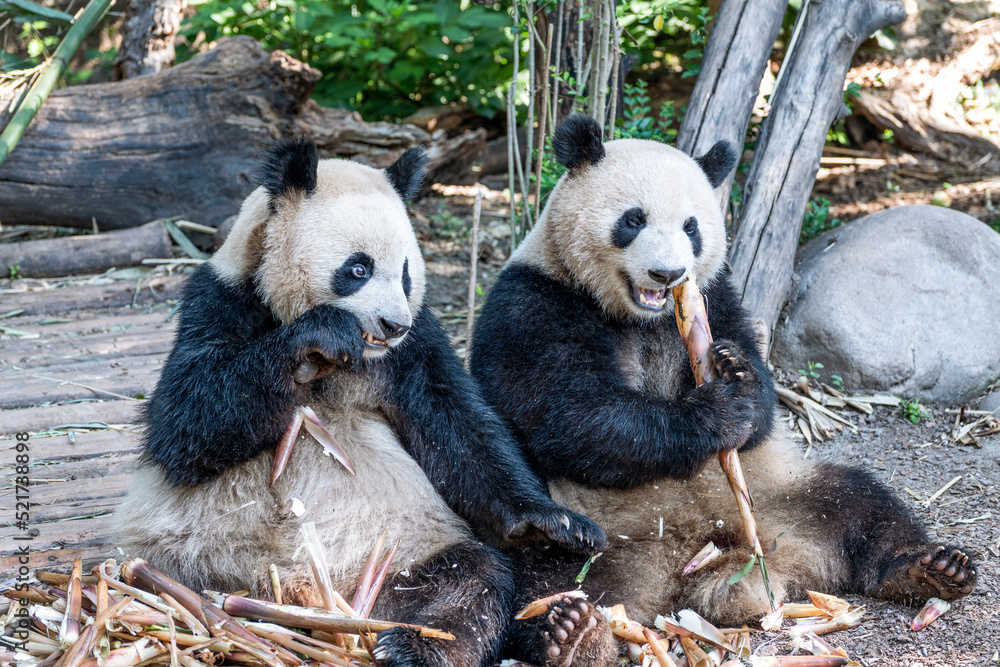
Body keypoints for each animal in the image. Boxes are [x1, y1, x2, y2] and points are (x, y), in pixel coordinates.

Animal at [113, 137, 604, 667]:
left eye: (406, 274)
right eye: (358, 268)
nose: (392, 325)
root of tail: (314, 595)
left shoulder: (415, 345)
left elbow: (461, 431)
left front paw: (556, 523)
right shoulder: (222, 299)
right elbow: (184, 423)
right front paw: (319, 337)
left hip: (402, 550)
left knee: (472, 581)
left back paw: (445, 643)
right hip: (193, 552)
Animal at [468, 116, 976, 667]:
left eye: (691, 227)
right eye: (633, 220)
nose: (667, 273)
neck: (642, 317)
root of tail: (690, 561)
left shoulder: (715, 294)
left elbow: (761, 395)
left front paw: (738, 375)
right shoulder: (534, 302)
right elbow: (568, 413)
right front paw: (714, 414)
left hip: (786, 494)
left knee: (863, 503)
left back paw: (934, 568)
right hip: (585, 528)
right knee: (543, 578)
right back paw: (575, 634)